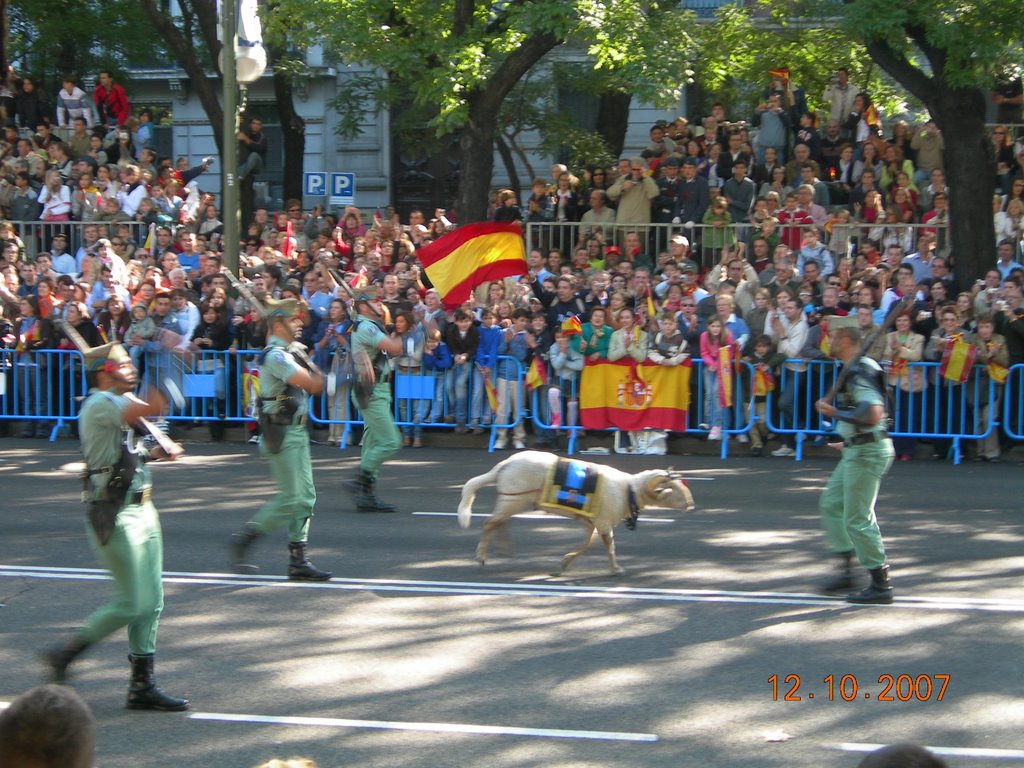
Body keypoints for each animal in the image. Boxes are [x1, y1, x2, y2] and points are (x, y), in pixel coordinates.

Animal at [458, 454, 692, 573]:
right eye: (673, 488)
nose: (691, 504)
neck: (629, 490)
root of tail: (505, 464)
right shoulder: (604, 522)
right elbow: (609, 546)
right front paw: (616, 568)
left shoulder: (591, 521)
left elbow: (588, 543)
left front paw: (566, 562)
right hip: (513, 498)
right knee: (490, 522)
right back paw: (481, 557)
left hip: (513, 500)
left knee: (499, 522)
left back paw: (504, 550)